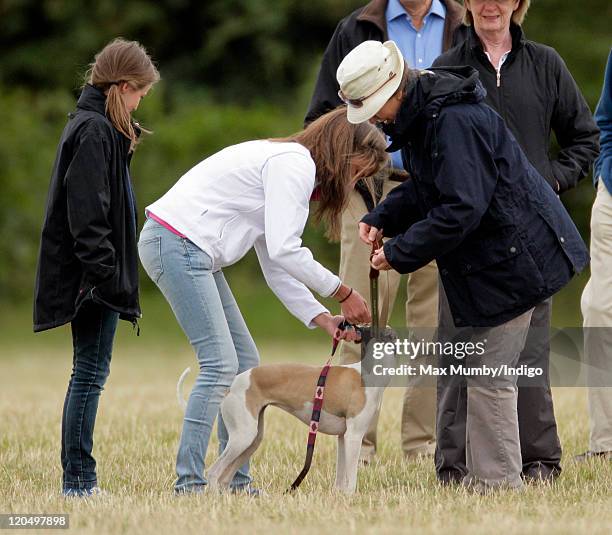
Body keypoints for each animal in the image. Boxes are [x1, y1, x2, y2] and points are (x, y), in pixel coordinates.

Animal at [177, 328, 396, 496]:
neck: (368, 373)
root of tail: (231, 386)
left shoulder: (343, 438)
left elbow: (341, 476)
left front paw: (339, 496)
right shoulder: (354, 436)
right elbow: (351, 477)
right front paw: (350, 498)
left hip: (252, 438)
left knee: (226, 476)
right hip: (243, 436)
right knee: (214, 472)